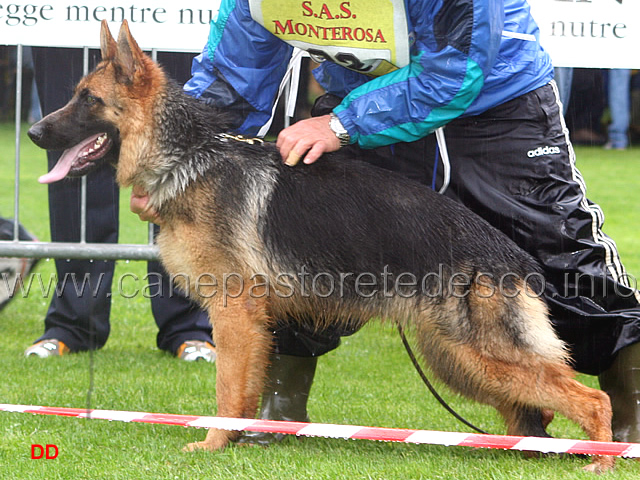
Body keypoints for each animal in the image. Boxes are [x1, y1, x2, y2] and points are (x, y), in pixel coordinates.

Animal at [26, 20, 616, 470]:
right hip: (456, 359)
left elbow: (225, 389)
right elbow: (247, 385)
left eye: (88, 101)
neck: (187, 157)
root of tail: (512, 256)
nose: (32, 133)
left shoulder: (234, 314)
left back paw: (603, 458)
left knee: (593, 398)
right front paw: (238, 438)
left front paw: (215, 442)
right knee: (536, 408)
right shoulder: (255, 321)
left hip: (481, 355)